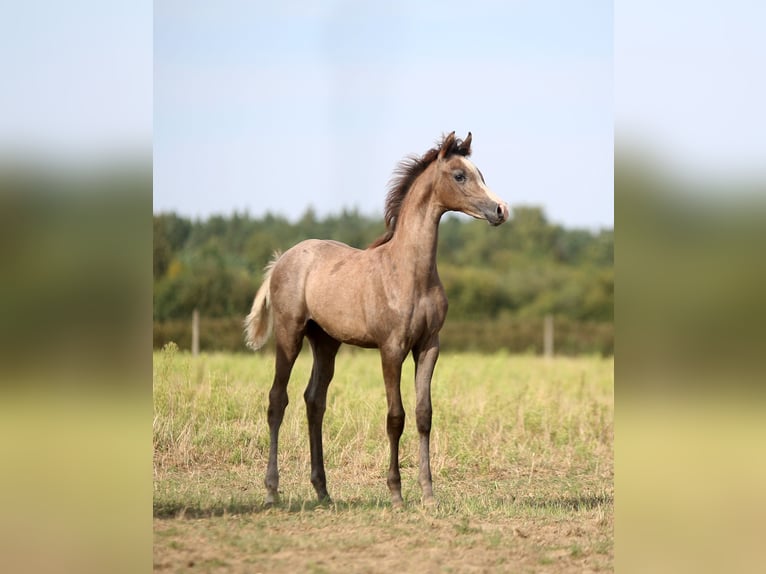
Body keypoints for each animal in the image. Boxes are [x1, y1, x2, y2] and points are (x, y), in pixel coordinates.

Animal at [245, 131, 509, 507]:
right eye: (460, 176)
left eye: (480, 173)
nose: (500, 210)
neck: (410, 273)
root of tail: (282, 259)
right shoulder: (391, 348)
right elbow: (395, 417)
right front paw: (396, 493)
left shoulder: (429, 347)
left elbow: (424, 414)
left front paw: (428, 494)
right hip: (289, 335)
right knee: (276, 400)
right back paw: (272, 492)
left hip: (325, 342)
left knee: (314, 401)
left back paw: (323, 491)